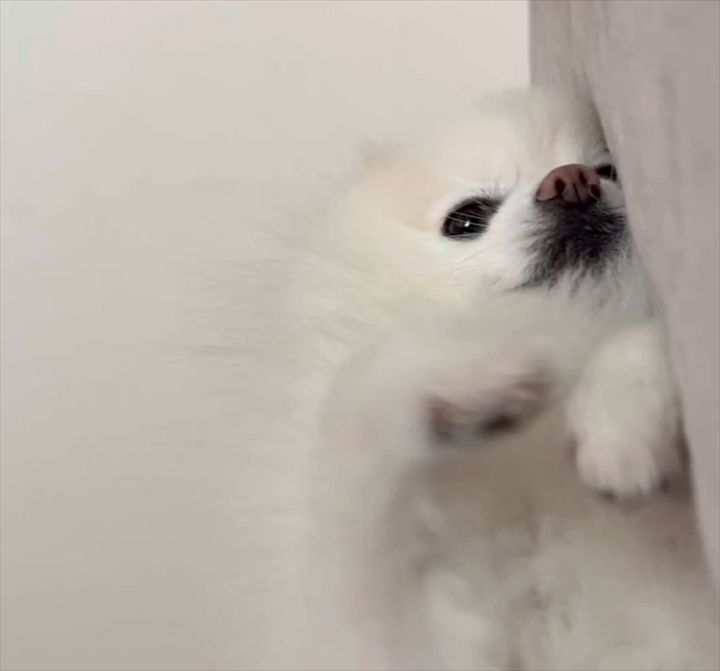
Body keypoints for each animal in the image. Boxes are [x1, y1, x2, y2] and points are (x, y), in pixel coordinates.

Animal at [288, 89, 719, 670]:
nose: (572, 179)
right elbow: (360, 397)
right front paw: (486, 372)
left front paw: (621, 424)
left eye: (608, 170)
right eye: (466, 219)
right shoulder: (388, 641)